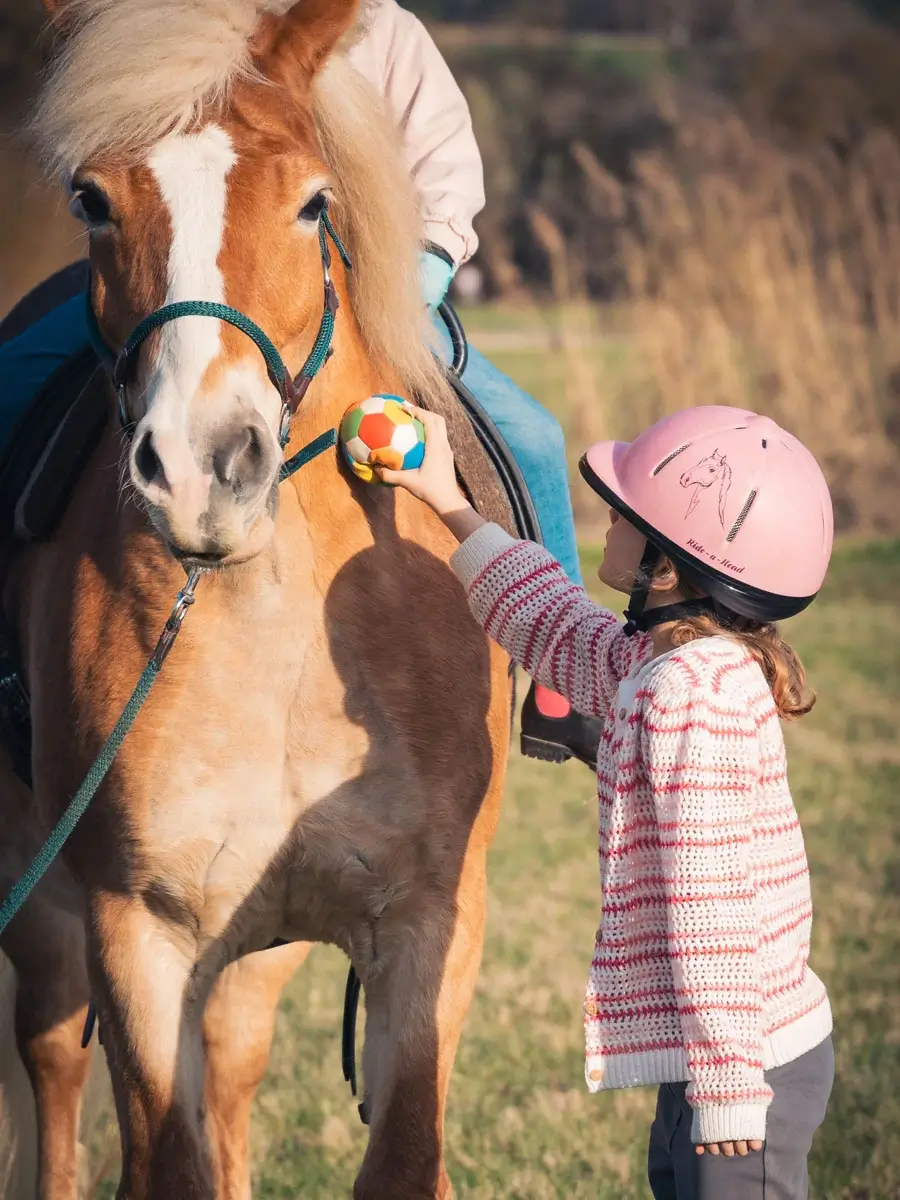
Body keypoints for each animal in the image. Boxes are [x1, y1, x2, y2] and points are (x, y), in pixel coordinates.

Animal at [0, 1, 515, 1196]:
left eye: (314, 201)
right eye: (91, 200)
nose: (202, 469)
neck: (278, 626)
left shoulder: (430, 928)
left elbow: (402, 1157)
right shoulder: (133, 935)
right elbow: (166, 1161)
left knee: (232, 1069)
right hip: (46, 908)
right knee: (53, 1066)